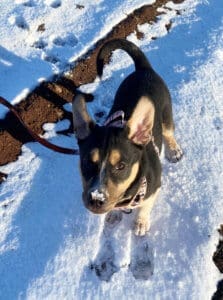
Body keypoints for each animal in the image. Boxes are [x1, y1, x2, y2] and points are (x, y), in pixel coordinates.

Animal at [72, 39, 182, 237]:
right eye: (87, 163)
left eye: (121, 166)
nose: (96, 199)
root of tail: (143, 69)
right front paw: (114, 213)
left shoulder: (154, 188)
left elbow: (144, 207)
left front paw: (140, 223)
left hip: (166, 114)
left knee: (169, 132)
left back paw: (174, 150)